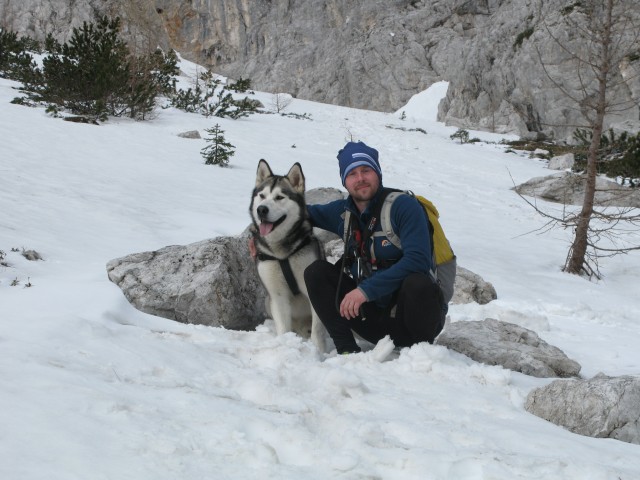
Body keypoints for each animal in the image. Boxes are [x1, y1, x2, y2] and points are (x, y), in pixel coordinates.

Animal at [250, 159, 328, 350]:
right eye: (262, 196)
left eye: (279, 197)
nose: (261, 210)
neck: (282, 255)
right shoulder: (277, 295)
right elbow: (283, 328)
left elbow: (317, 331)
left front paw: (318, 352)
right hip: (268, 300)